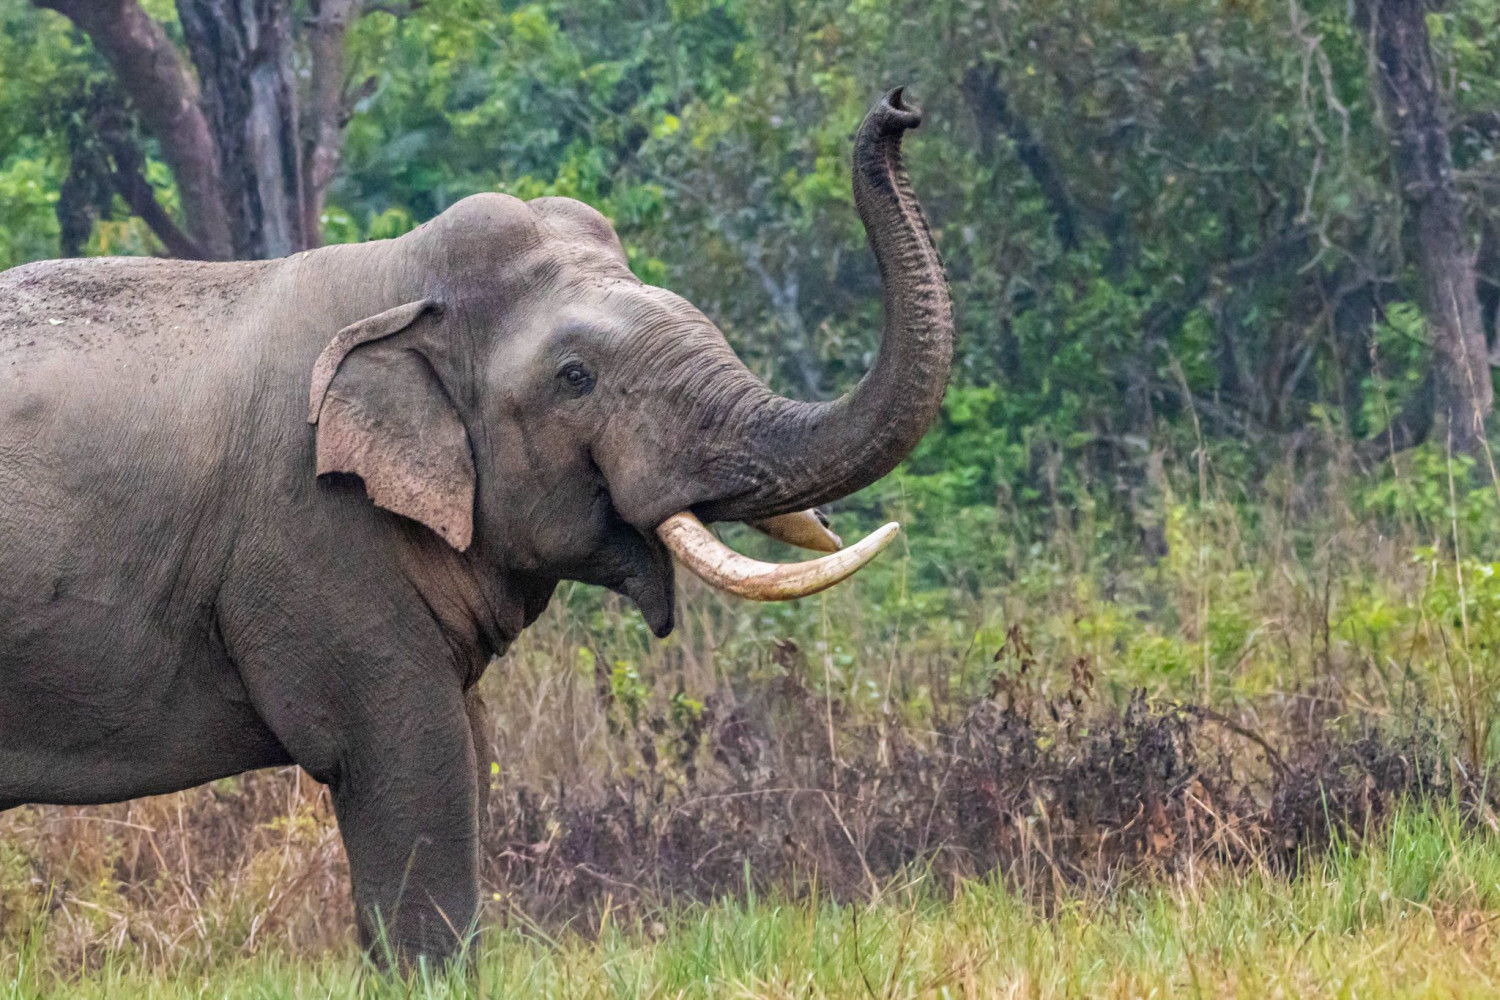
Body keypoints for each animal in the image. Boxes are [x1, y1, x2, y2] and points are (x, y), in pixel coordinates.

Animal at [0, 89, 954, 965]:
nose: (900, 108)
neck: (394, 280)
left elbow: (469, 740)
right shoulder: (311, 534)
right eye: (575, 377)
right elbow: (408, 751)